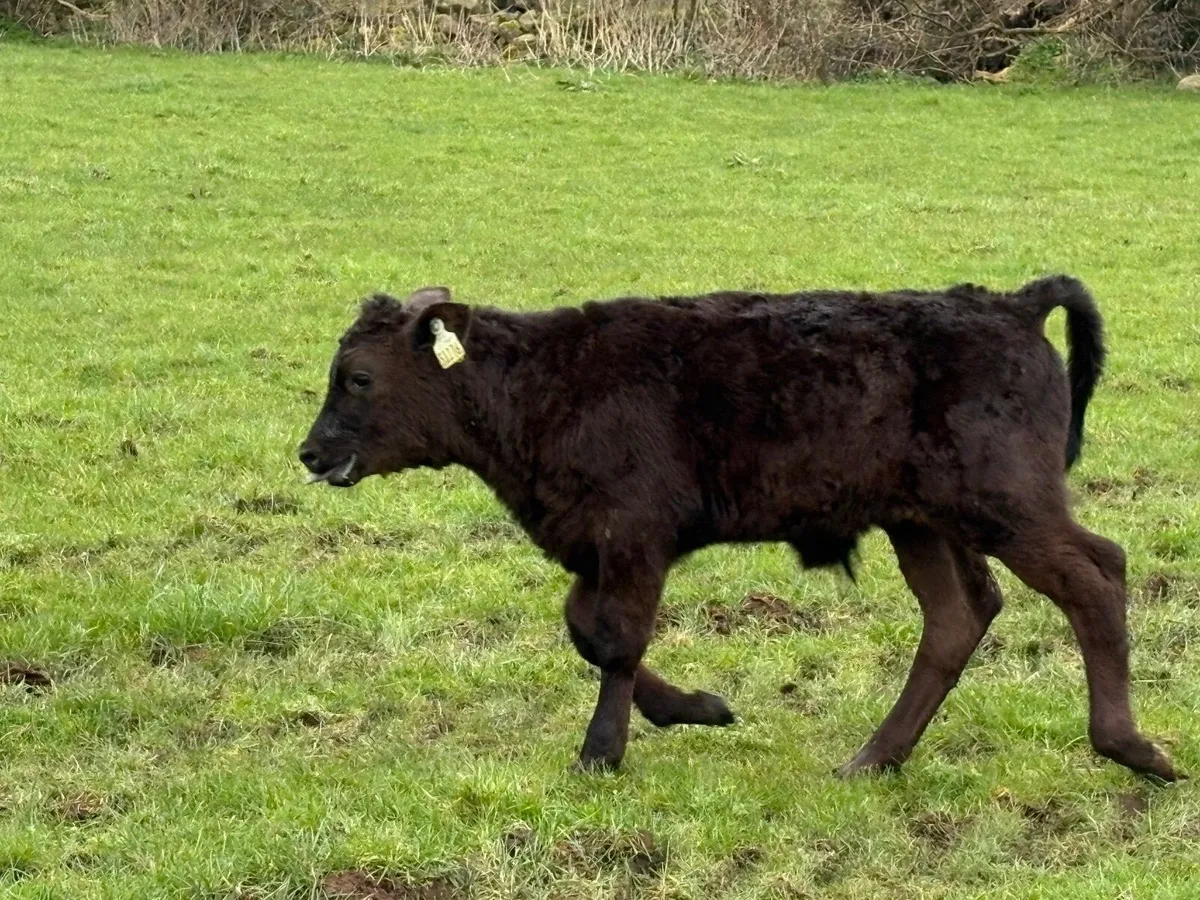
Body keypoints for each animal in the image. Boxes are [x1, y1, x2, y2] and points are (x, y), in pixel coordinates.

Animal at [298, 276, 1178, 782]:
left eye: (359, 378)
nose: (311, 453)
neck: (546, 383)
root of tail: (1010, 305)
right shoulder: (599, 543)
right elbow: (586, 627)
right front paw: (697, 709)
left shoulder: (634, 535)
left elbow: (616, 639)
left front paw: (600, 754)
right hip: (923, 522)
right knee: (959, 617)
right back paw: (875, 758)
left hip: (1008, 505)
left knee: (1097, 574)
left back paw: (1132, 749)